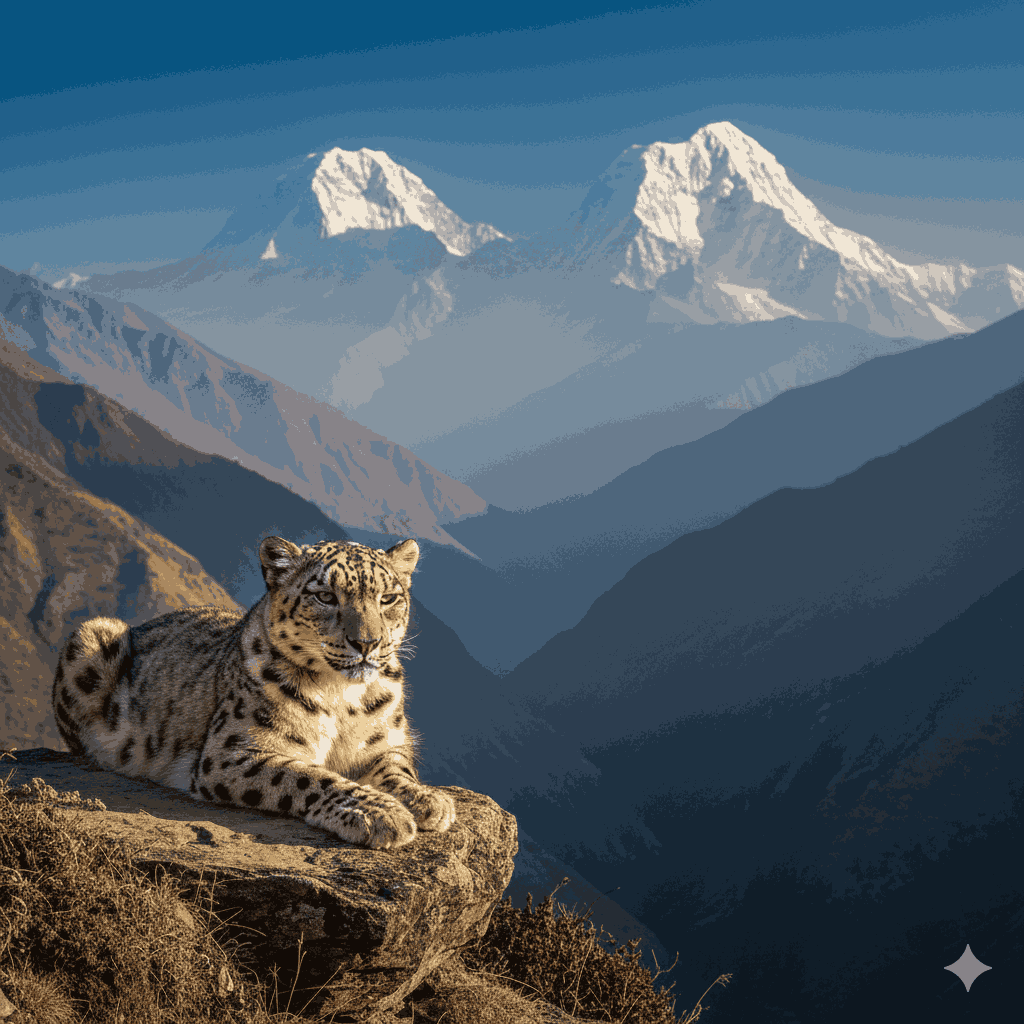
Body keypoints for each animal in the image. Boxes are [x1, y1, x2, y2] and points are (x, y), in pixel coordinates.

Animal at [50, 536, 456, 849]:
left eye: (388, 598)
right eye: (325, 596)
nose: (368, 643)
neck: (343, 696)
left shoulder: (385, 742)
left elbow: (397, 768)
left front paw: (428, 800)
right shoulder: (234, 752)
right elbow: (307, 775)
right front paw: (378, 812)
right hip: (90, 637)